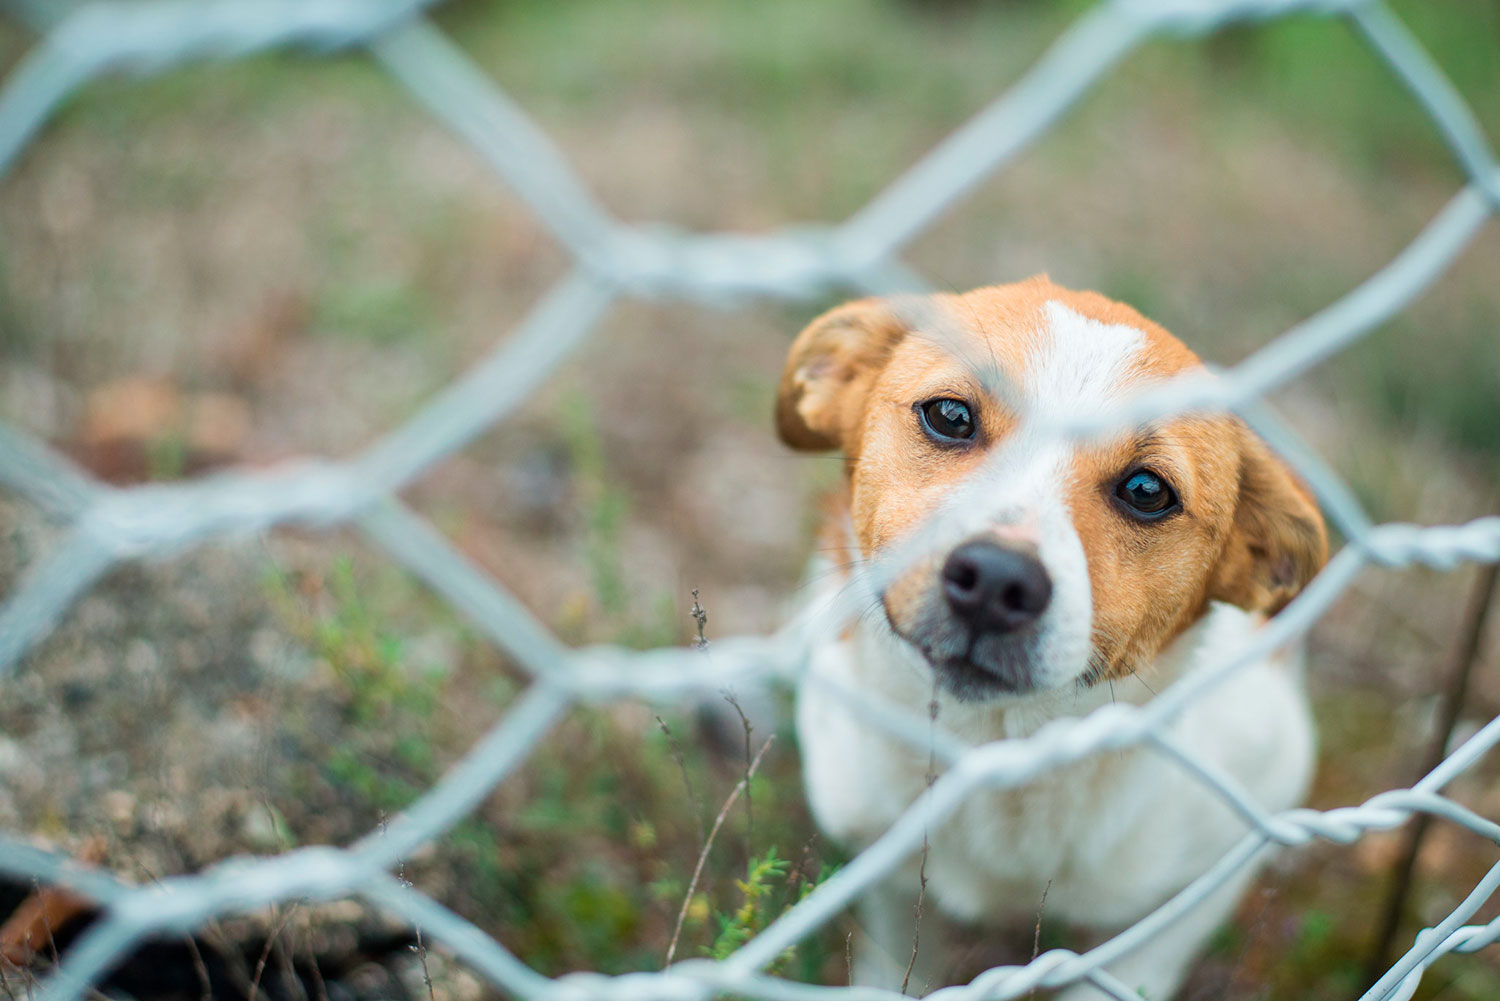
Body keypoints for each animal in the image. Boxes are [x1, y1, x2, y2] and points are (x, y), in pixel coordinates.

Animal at [780, 277, 1332, 1001]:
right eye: (950, 416)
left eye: (1147, 490)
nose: (995, 580)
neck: (1000, 751)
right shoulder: (882, 861)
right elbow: (895, 954)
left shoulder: (1221, 859)